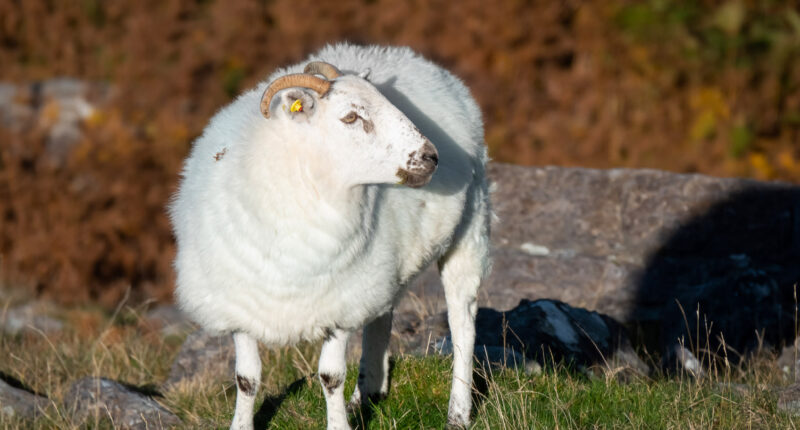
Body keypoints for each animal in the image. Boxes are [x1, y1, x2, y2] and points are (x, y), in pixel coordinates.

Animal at [170, 44, 488, 430]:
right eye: (350, 117)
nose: (430, 157)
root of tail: (410, 57)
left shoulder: (339, 304)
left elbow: (331, 377)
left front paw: (338, 423)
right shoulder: (240, 309)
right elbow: (246, 380)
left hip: (469, 232)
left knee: (462, 325)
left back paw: (458, 412)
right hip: (384, 269)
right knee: (382, 318)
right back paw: (368, 392)